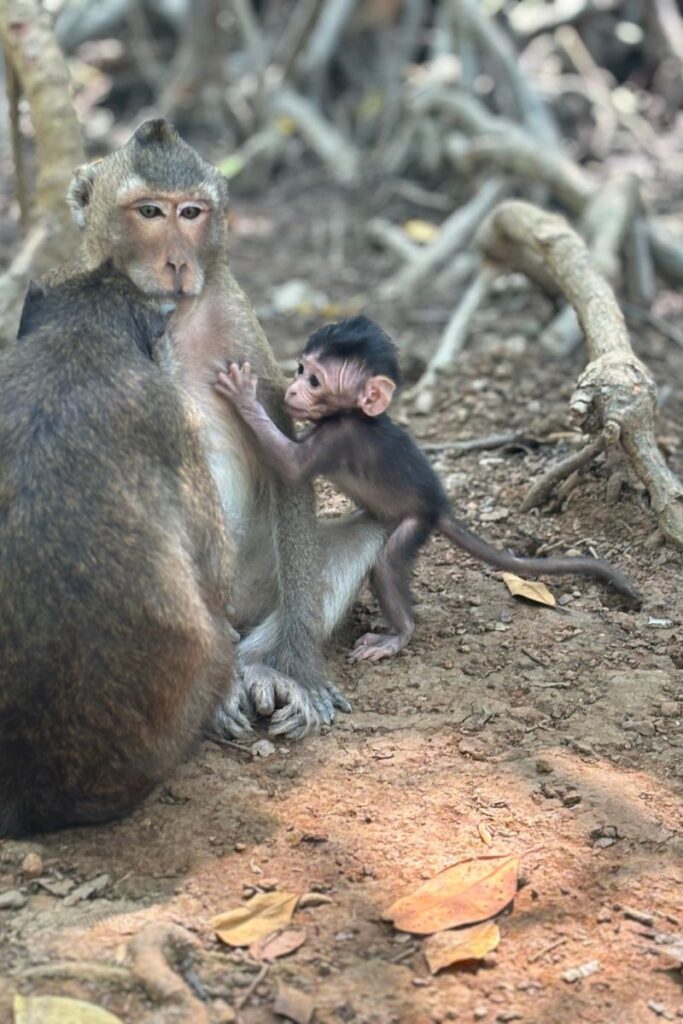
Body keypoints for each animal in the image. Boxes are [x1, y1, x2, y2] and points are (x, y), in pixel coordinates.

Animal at [53, 118, 385, 739]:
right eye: (150, 211)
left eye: (191, 213)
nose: (178, 264)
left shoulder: (238, 320)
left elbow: (283, 448)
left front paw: (300, 673)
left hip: (258, 575)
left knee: (366, 532)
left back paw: (261, 667)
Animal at [215, 315, 643, 663]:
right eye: (301, 369)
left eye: (315, 380)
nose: (292, 390)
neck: (351, 414)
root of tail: (439, 508)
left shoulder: (342, 436)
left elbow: (291, 467)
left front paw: (244, 396)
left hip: (415, 522)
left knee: (387, 566)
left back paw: (399, 634)